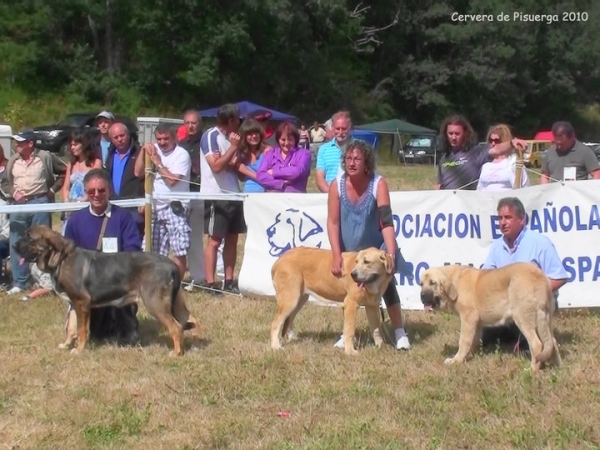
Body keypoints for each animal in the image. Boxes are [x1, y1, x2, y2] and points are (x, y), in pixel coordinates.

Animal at [14, 225, 200, 356]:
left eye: (29, 237)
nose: (14, 246)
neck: (60, 259)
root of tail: (172, 265)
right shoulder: (73, 304)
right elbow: (71, 328)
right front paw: (66, 345)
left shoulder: (81, 303)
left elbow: (81, 330)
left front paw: (79, 350)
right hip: (176, 304)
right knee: (191, 320)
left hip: (155, 303)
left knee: (176, 327)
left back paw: (176, 353)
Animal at [420, 262, 560, 370]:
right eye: (421, 284)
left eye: (433, 283)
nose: (422, 296)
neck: (454, 282)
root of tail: (539, 276)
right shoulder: (476, 323)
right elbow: (473, 341)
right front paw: (470, 356)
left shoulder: (468, 318)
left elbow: (464, 341)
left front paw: (456, 360)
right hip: (545, 320)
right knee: (552, 342)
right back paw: (556, 365)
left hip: (522, 319)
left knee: (537, 344)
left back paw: (532, 370)